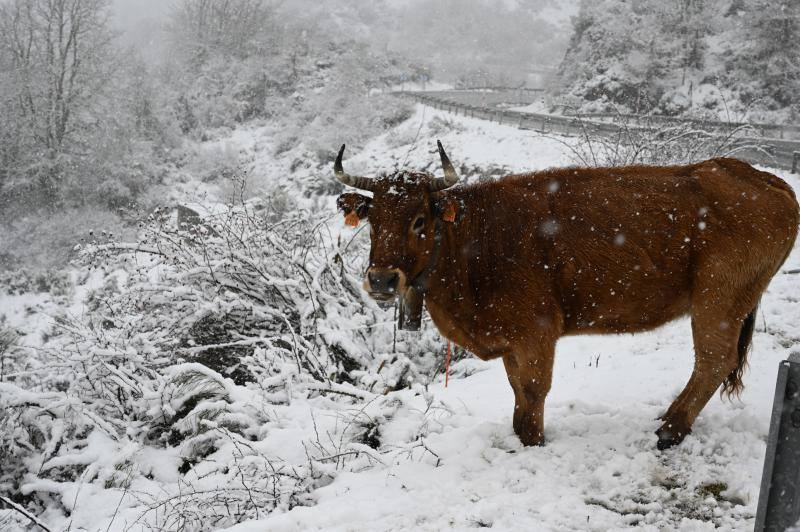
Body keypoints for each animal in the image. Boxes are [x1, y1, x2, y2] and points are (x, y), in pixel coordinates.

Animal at [334, 142, 799, 450]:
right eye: (373, 219)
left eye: (419, 219)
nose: (381, 280)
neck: (477, 239)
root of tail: (762, 178)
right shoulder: (511, 339)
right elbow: (517, 389)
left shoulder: (536, 331)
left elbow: (534, 389)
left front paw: (533, 442)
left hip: (718, 301)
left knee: (713, 362)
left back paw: (670, 429)